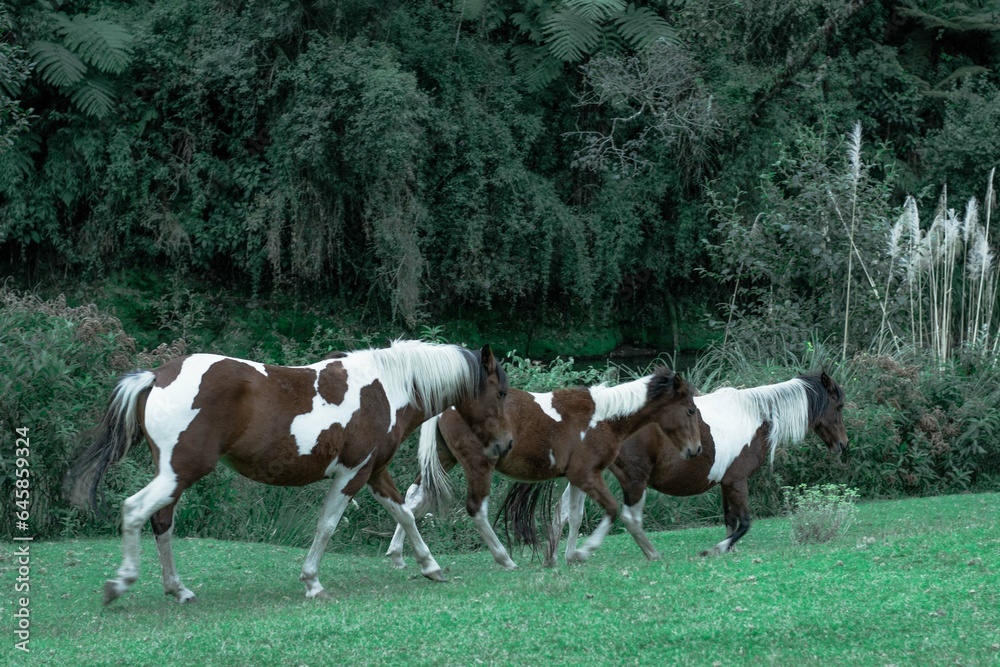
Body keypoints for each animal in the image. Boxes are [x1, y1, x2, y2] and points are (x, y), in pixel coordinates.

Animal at [64, 340, 512, 604]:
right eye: (502, 392)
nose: (505, 445)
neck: (387, 387)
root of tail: (157, 376)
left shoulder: (374, 471)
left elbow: (404, 514)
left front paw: (429, 566)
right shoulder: (352, 474)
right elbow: (327, 525)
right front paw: (312, 581)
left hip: (172, 475)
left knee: (161, 522)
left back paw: (178, 589)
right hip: (180, 471)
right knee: (135, 511)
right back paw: (121, 582)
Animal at [385, 366, 702, 569]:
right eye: (690, 409)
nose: (695, 449)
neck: (602, 417)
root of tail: (448, 405)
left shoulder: (577, 477)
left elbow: (574, 515)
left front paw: (568, 556)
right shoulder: (586, 475)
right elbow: (613, 510)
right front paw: (584, 552)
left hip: (444, 460)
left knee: (413, 498)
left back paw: (400, 555)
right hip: (479, 465)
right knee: (476, 509)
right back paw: (505, 559)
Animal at [549, 371, 847, 559]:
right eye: (839, 406)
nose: (843, 445)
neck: (754, 415)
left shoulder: (726, 483)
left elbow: (730, 519)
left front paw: (729, 549)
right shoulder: (737, 481)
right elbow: (745, 522)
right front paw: (717, 549)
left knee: (568, 515)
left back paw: (561, 556)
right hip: (634, 480)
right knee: (626, 517)